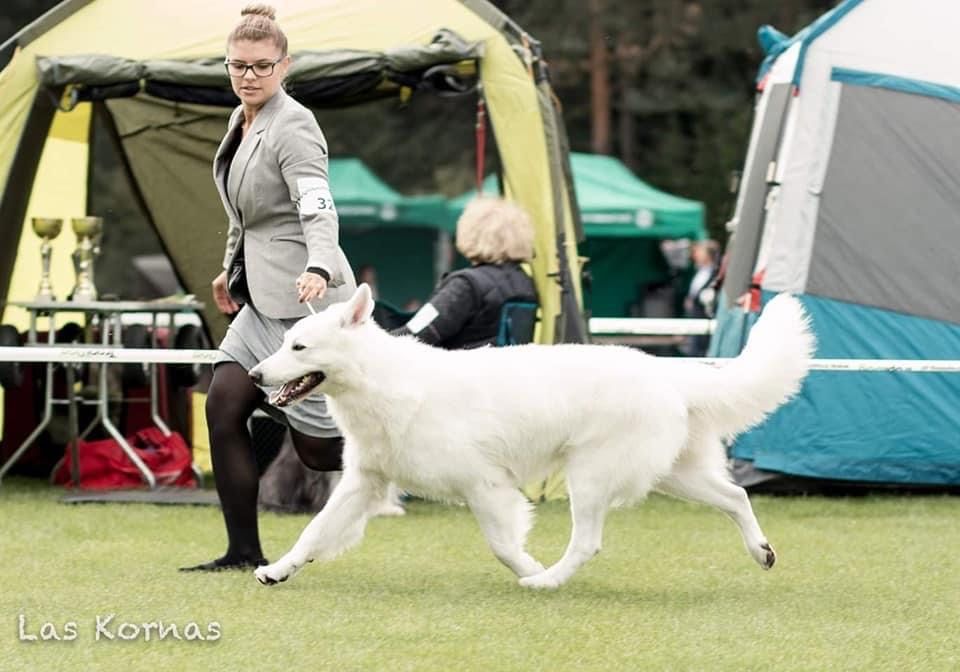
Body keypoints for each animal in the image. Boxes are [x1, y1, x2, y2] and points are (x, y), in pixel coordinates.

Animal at [248, 284, 808, 588]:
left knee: (587, 544)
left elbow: (501, 545)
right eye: (286, 341)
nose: (254, 375)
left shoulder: (486, 487)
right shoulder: (362, 483)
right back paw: (761, 551)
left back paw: (547, 579)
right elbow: (314, 532)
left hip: (589, 478)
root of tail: (667, 371)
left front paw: (527, 566)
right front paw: (279, 570)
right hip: (673, 474)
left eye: (299, 347)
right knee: (736, 496)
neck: (382, 382)